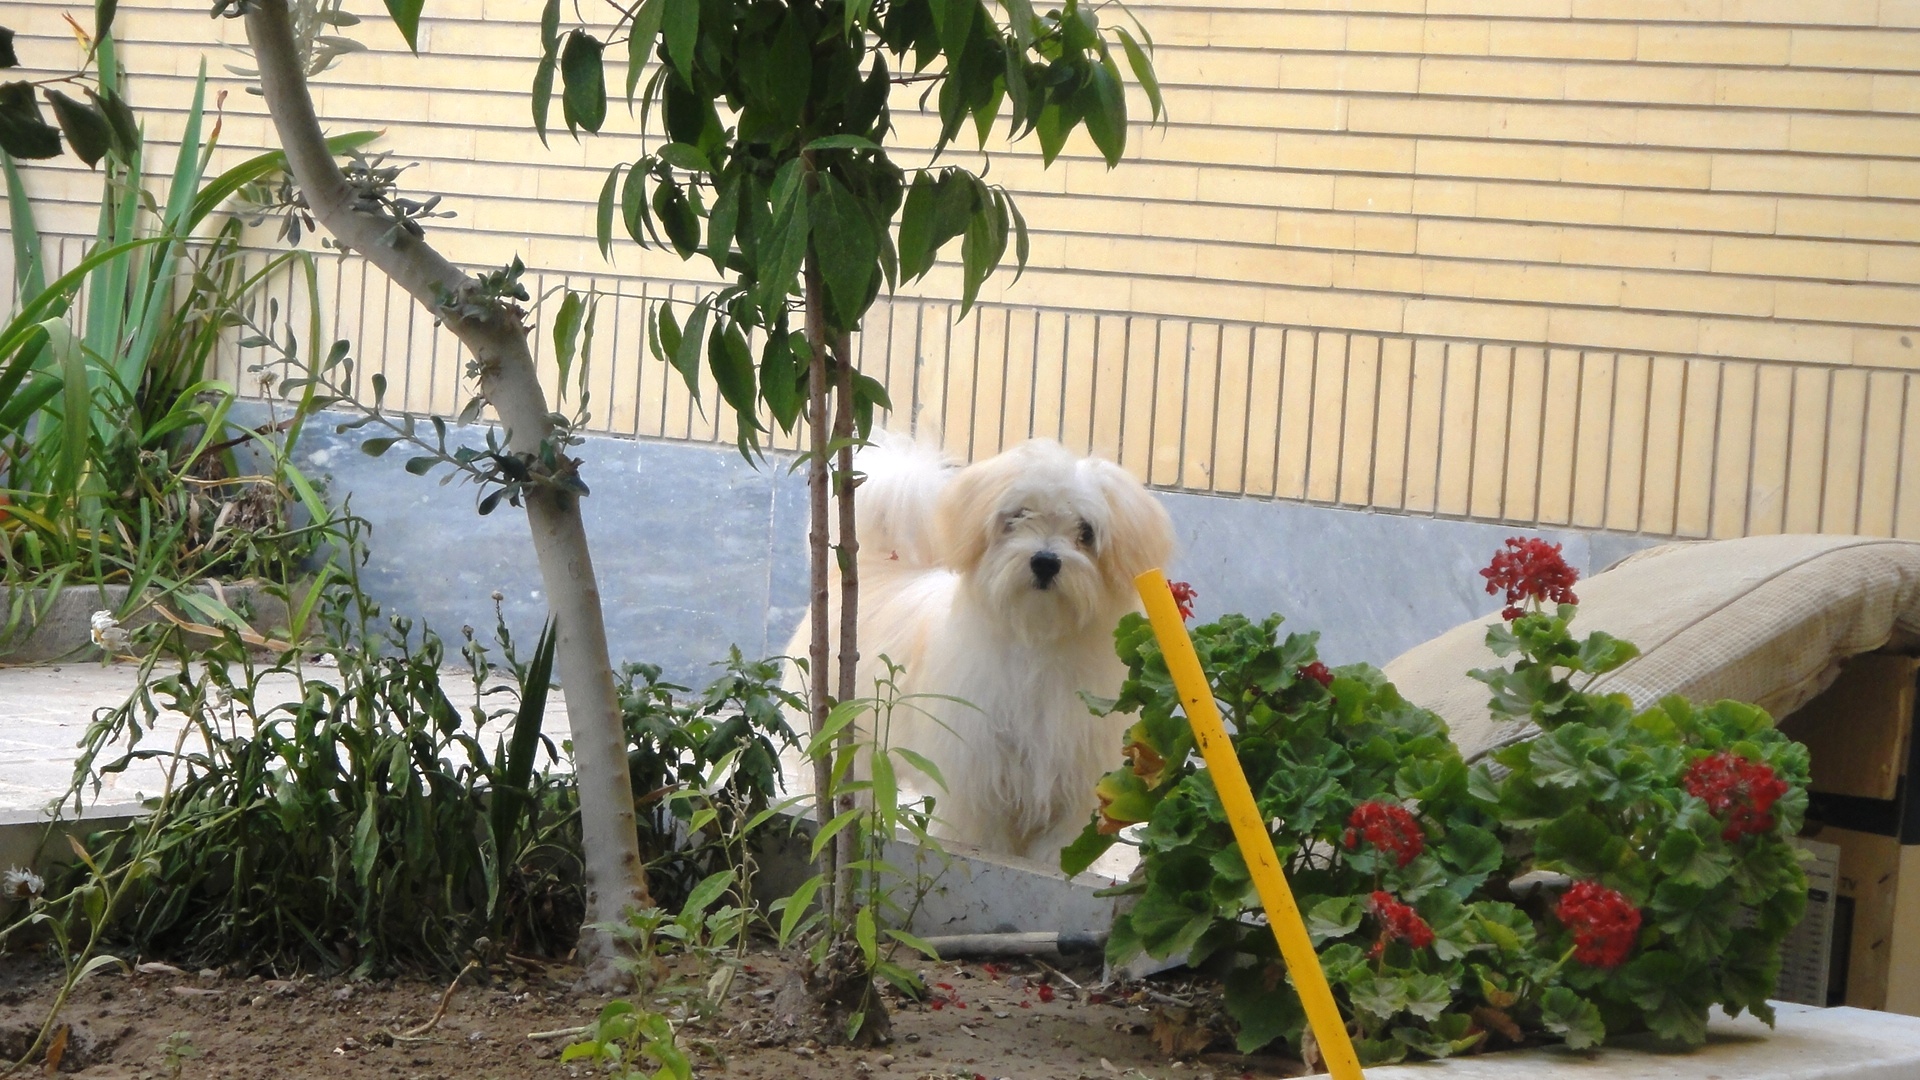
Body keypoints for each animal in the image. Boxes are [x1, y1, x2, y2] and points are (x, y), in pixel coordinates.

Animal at [784, 431, 1175, 862]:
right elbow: (982, 840)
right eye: (1017, 516)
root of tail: (867, 568)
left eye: (1086, 532)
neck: (1036, 641)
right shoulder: (978, 787)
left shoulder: (1071, 795)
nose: (1045, 561)